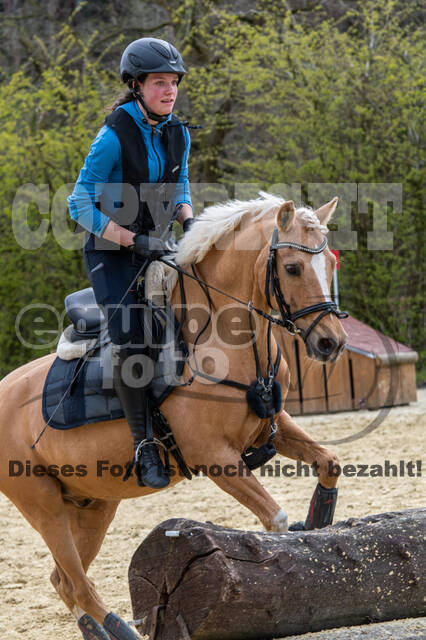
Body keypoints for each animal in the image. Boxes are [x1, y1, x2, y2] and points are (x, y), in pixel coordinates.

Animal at [0, 195, 346, 640]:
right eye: (292, 268)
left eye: (331, 265)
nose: (331, 342)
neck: (220, 336)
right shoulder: (215, 457)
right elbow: (277, 520)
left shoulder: (274, 424)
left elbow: (329, 463)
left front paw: (318, 523)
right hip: (44, 507)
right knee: (78, 584)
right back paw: (123, 630)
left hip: (94, 505)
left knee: (63, 581)